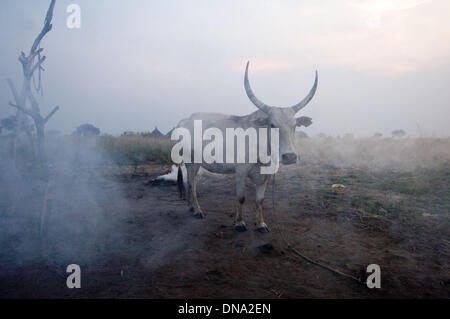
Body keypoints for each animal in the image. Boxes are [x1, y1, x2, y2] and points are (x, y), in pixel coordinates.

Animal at [176, 62, 316, 232]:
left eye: (295, 126)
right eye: (272, 124)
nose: (290, 156)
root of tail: (185, 120)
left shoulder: (265, 176)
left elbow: (260, 200)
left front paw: (261, 223)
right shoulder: (240, 171)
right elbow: (241, 197)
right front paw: (240, 222)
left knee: (190, 183)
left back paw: (191, 207)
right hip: (191, 161)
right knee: (192, 183)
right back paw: (197, 210)